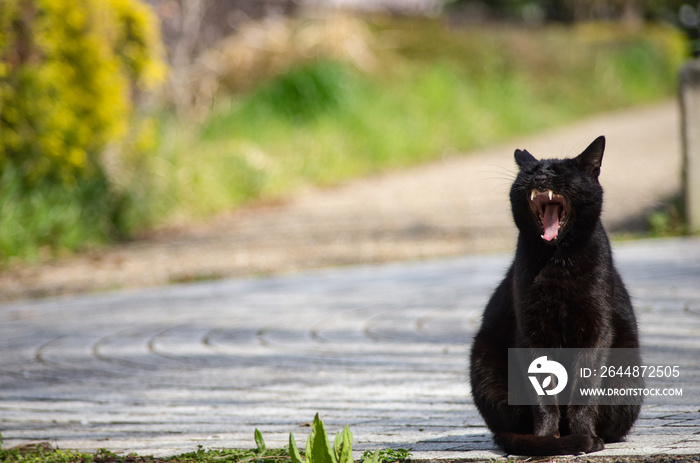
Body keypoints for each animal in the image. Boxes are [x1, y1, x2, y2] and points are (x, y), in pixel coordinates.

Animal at [468, 137, 644, 456]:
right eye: (530, 171)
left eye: (559, 172)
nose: (539, 176)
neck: (557, 262)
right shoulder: (532, 332)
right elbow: (542, 393)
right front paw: (547, 438)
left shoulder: (596, 329)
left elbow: (583, 388)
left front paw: (584, 436)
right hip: (484, 362)